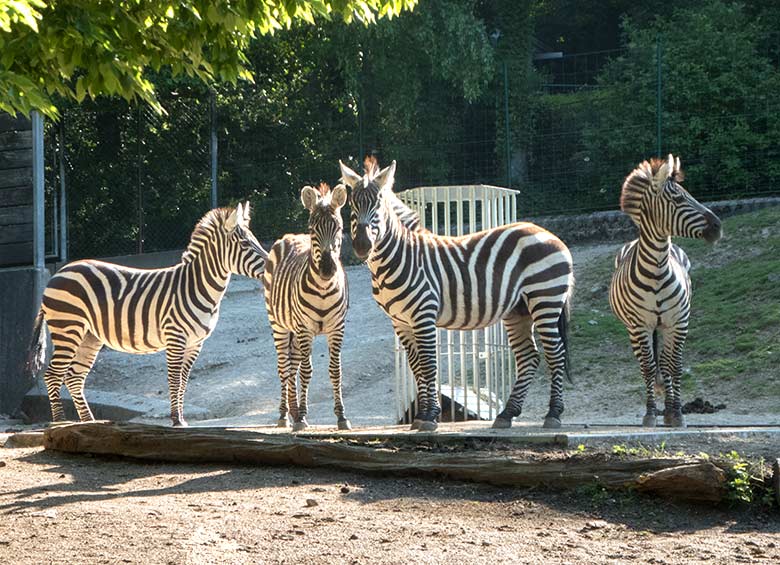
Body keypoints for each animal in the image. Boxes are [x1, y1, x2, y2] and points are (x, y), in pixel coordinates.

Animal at [29, 200, 268, 426]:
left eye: (255, 240)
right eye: (246, 244)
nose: (272, 267)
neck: (196, 286)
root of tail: (58, 273)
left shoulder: (195, 343)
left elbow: (184, 380)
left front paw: (182, 419)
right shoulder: (175, 337)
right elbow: (174, 379)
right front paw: (176, 419)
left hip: (89, 336)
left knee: (74, 377)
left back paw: (89, 422)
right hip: (67, 328)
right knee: (53, 375)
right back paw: (61, 422)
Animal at [262, 183, 350, 430]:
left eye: (339, 227)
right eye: (313, 228)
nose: (327, 270)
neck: (323, 290)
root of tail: (290, 236)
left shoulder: (337, 328)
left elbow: (335, 370)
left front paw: (341, 416)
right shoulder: (305, 328)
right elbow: (307, 371)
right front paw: (301, 416)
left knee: (292, 366)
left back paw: (292, 412)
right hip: (279, 325)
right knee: (284, 366)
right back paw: (285, 415)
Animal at [340, 156, 572, 430]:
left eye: (378, 204)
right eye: (352, 205)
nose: (362, 246)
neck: (398, 258)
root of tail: (547, 233)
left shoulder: (423, 314)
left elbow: (429, 365)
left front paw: (430, 416)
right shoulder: (400, 321)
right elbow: (416, 366)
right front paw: (421, 416)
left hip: (545, 298)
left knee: (555, 354)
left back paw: (553, 414)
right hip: (519, 310)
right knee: (529, 357)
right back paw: (507, 414)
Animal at [608, 154, 724, 428]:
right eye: (679, 199)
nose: (718, 226)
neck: (657, 270)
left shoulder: (679, 322)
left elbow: (675, 366)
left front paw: (677, 413)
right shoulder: (641, 325)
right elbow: (650, 368)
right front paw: (651, 413)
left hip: (665, 326)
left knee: (666, 361)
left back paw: (670, 407)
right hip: (634, 329)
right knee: (647, 364)